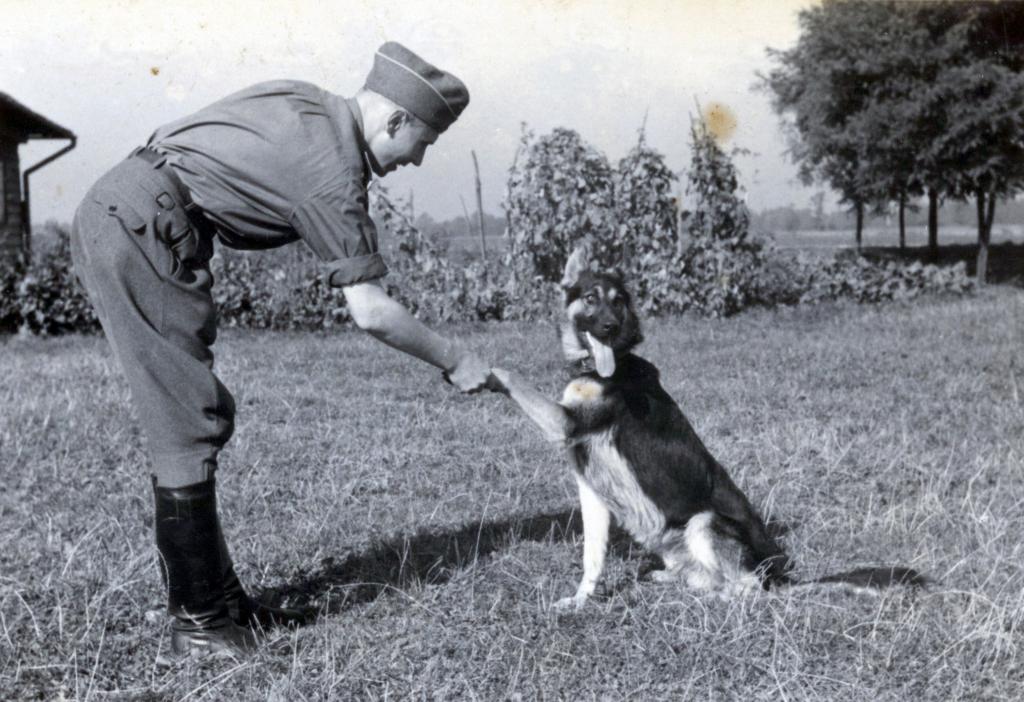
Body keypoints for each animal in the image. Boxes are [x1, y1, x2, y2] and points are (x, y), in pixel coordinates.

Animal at [487, 247, 929, 609]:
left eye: (619, 302)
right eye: (591, 298)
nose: (611, 327)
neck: (602, 367)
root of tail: (782, 577)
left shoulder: (567, 421)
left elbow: (512, 376)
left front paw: (486, 372)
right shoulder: (592, 491)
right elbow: (592, 557)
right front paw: (581, 600)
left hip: (704, 521)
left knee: (744, 590)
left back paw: (717, 596)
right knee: (701, 577)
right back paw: (669, 579)